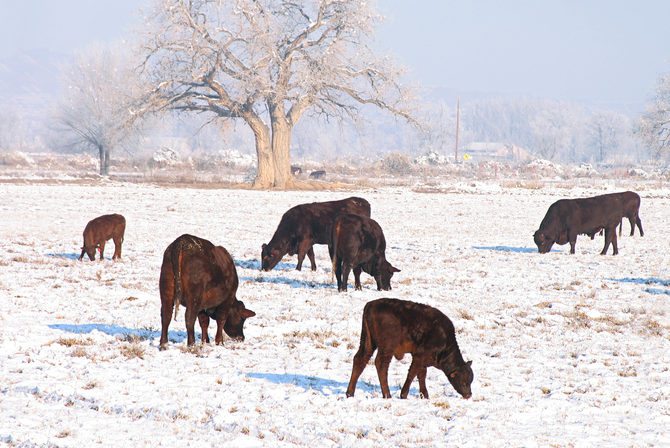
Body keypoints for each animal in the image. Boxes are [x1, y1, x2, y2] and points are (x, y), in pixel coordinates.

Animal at [346, 298, 478, 400]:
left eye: (471, 380)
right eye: (464, 382)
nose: (469, 395)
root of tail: (370, 304)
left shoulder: (422, 359)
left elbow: (421, 375)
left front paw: (425, 395)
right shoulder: (419, 356)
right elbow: (412, 373)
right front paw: (403, 395)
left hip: (368, 342)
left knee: (360, 360)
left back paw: (350, 393)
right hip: (386, 348)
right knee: (381, 364)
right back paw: (387, 395)